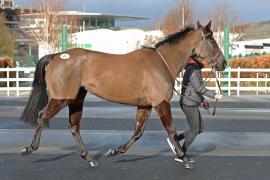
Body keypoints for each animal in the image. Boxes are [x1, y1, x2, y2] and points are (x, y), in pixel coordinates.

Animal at [20, 21, 226, 169]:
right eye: (212, 41)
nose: (223, 63)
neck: (161, 64)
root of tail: (57, 55)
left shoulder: (145, 105)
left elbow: (138, 132)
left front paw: (116, 151)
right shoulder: (160, 103)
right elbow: (171, 130)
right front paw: (184, 158)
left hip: (76, 99)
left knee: (74, 126)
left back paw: (89, 158)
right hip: (61, 98)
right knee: (42, 117)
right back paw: (29, 148)